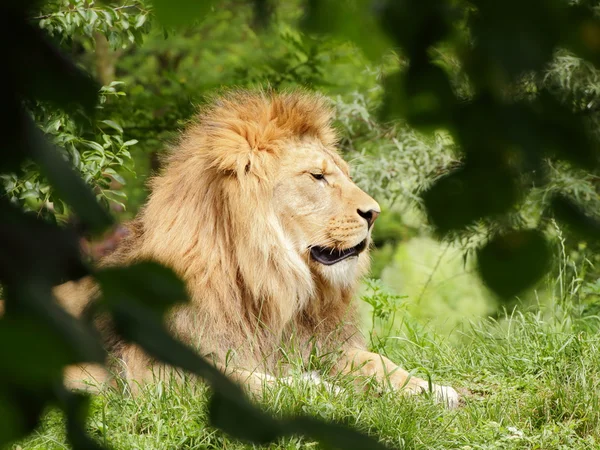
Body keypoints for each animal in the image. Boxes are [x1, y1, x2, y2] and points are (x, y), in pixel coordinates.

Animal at [56, 89, 460, 406]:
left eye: (345, 174)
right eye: (317, 176)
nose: (374, 213)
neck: (272, 282)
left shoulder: (322, 345)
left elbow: (378, 361)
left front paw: (432, 389)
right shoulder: (154, 373)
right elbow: (241, 380)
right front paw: (316, 388)